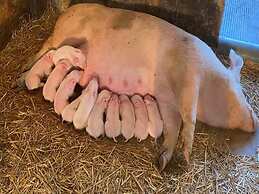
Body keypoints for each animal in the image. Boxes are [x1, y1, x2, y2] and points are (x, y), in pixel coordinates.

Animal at [23, 3, 258, 170]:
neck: (211, 80)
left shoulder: (166, 98)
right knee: (45, 48)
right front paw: (187, 156)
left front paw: (162, 161)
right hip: (65, 34)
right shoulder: (189, 73)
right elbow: (189, 116)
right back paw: (23, 73)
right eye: (242, 92)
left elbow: (173, 124)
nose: (255, 121)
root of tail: (63, 14)